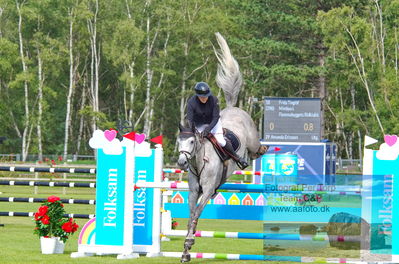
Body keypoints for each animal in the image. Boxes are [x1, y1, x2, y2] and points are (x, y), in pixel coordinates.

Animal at [177, 33, 268, 262]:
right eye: (178, 141)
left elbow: (197, 213)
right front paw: (186, 251)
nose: (181, 162)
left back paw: (260, 151)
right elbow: (191, 215)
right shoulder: (194, 191)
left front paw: (189, 243)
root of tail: (234, 107)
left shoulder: (208, 189)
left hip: (252, 140)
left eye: (192, 142)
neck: (199, 161)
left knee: (256, 150)